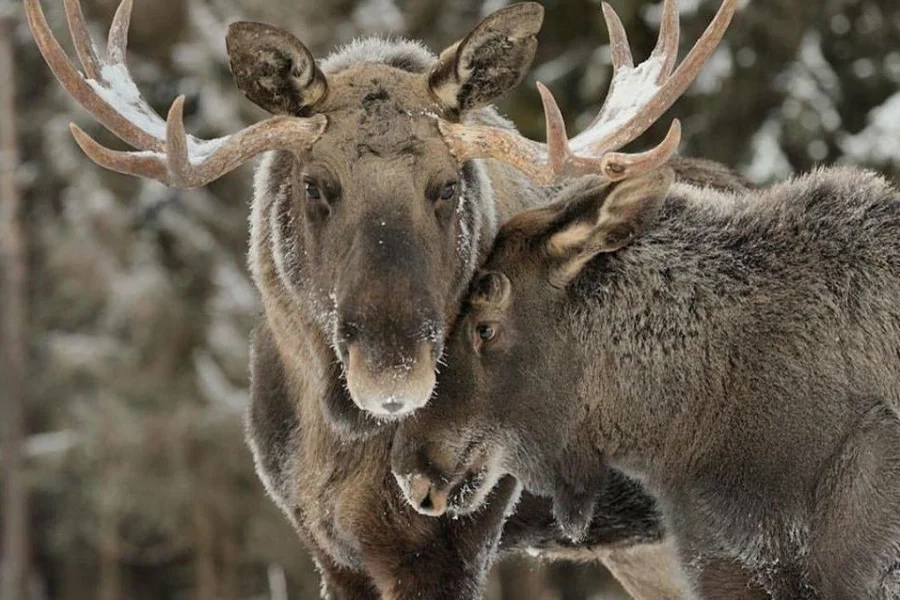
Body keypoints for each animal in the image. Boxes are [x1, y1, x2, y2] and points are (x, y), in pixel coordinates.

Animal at [24, 0, 740, 596]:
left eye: (447, 185)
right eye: (316, 185)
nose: (392, 370)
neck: (339, 438)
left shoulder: (450, 540)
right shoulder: (327, 546)